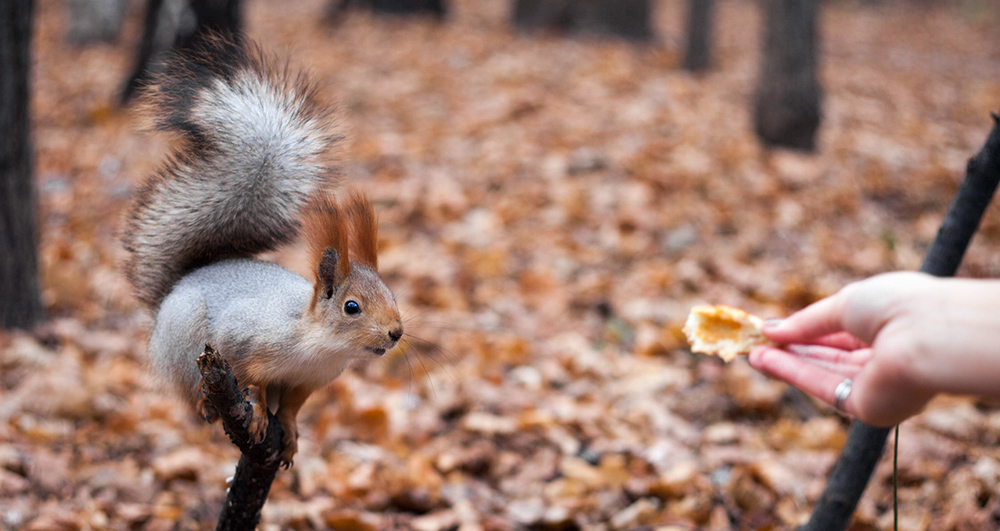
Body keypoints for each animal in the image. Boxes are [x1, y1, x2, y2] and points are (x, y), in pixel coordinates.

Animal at [124, 37, 402, 468]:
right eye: (351, 307)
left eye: (392, 294)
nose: (396, 333)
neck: (318, 346)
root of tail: (174, 289)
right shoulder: (241, 338)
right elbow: (248, 377)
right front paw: (255, 411)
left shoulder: (306, 382)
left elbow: (290, 407)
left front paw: (288, 432)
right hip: (184, 341)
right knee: (191, 391)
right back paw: (206, 405)